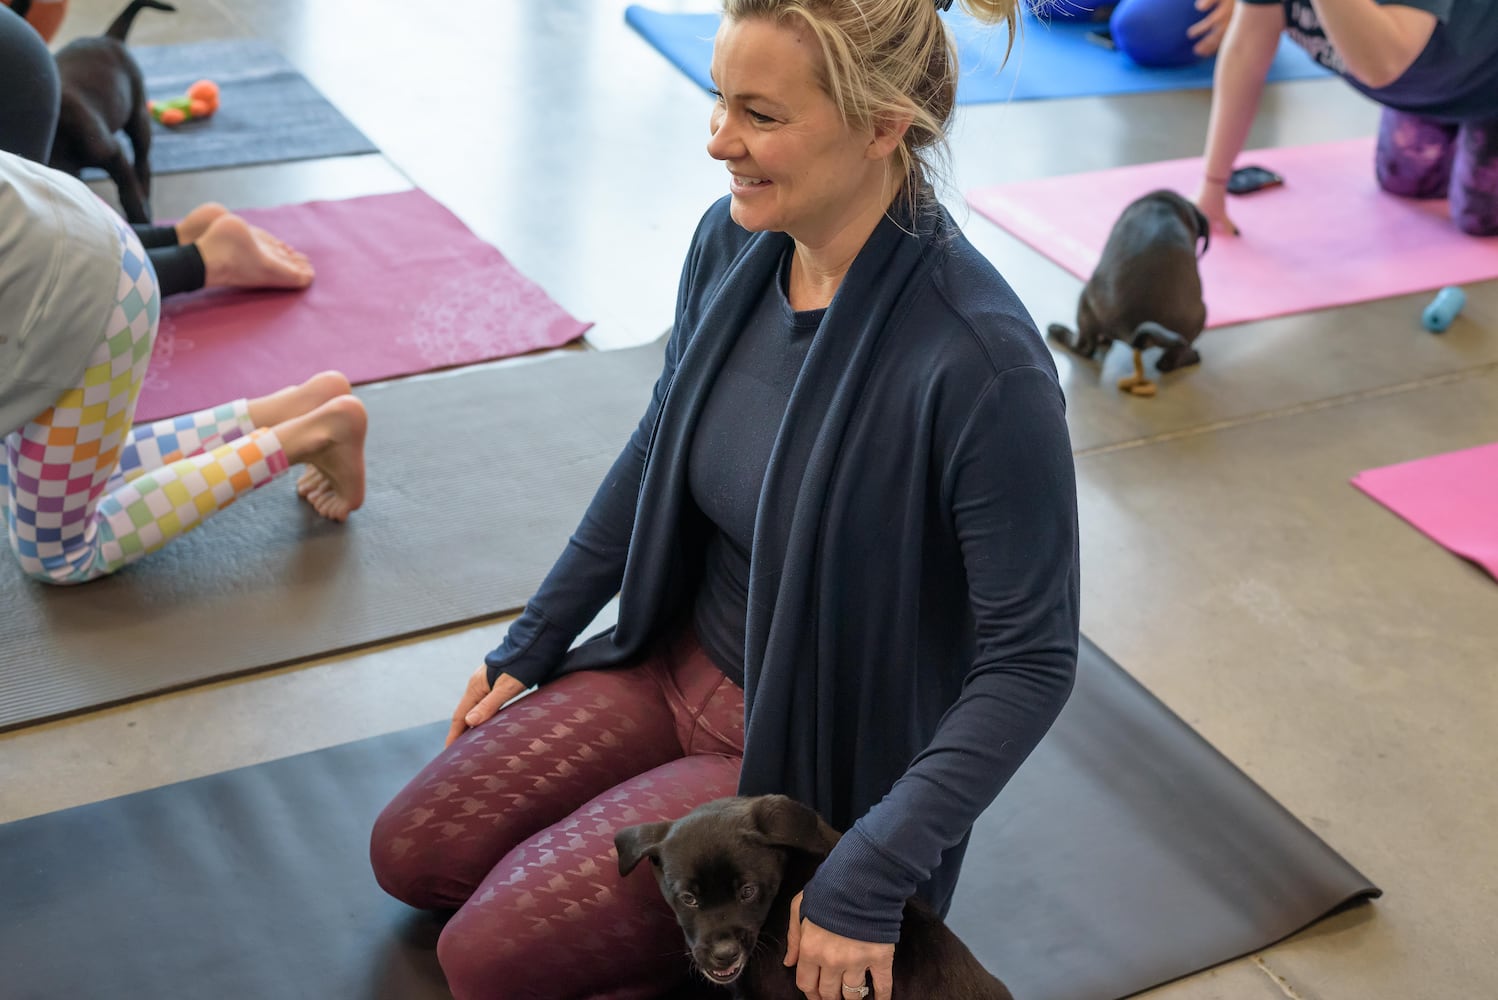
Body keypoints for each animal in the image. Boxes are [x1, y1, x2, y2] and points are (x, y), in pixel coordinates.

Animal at [40, 0, 176, 223]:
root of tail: (109, 37)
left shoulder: (113, 154)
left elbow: (129, 191)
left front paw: (139, 219)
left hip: (138, 117)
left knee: (142, 163)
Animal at [1048, 186, 1210, 395]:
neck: (1165, 204)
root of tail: (1131, 327)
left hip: (1085, 301)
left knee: (1085, 347)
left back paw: (1059, 331)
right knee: (1167, 361)